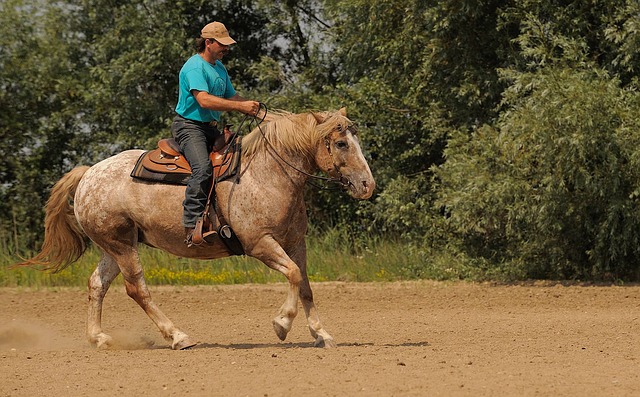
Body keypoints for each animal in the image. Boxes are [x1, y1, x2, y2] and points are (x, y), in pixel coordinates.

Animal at [18, 106, 376, 348]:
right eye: (341, 143)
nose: (367, 185)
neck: (267, 173)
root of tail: (89, 173)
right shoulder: (260, 243)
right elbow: (292, 274)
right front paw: (282, 324)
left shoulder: (295, 243)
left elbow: (304, 284)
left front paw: (322, 334)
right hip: (121, 246)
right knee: (137, 289)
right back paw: (178, 336)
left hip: (116, 246)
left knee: (97, 284)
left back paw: (100, 338)